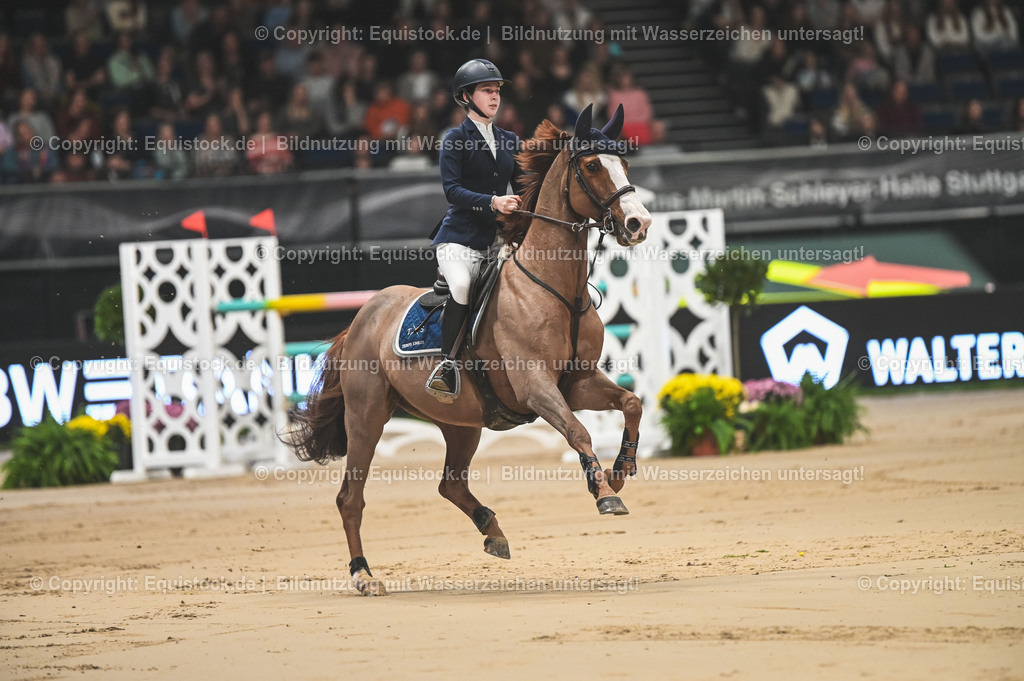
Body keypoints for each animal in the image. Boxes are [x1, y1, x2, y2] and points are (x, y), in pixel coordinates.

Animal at [288, 104, 654, 596]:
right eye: (593, 166)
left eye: (625, 165)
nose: (639, 224)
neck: (555, 287)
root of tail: (364, 316)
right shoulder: (537, 387)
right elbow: (578, 432)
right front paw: (606, 496)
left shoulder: (576, 383)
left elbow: (631, 402)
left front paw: (618, 472)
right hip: (366, 417)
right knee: (351, 497)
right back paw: (364, 575)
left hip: (461, 423)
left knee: (450, 484)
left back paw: (492, 531)